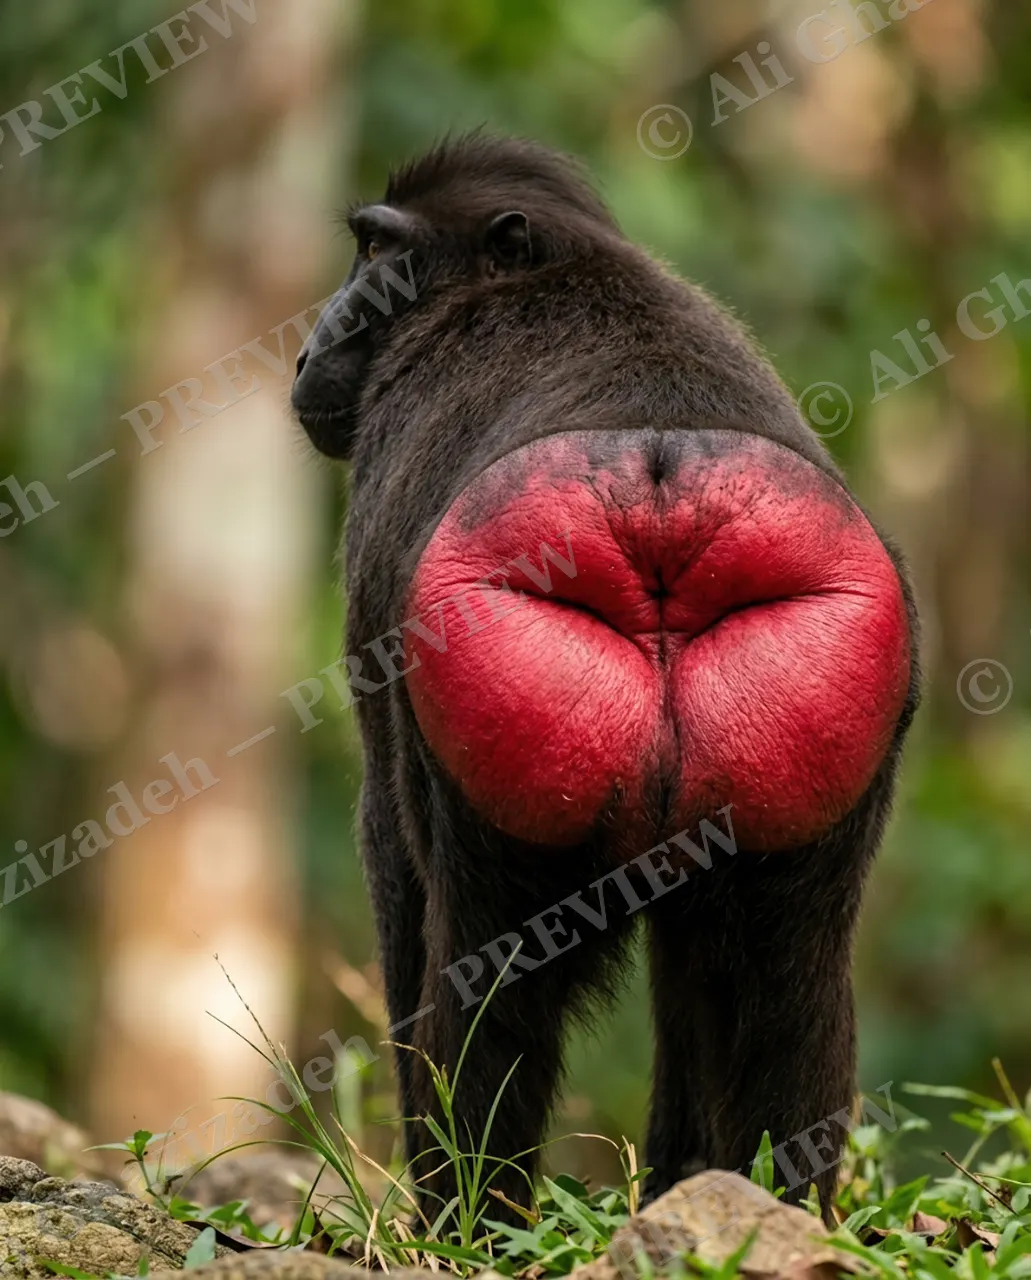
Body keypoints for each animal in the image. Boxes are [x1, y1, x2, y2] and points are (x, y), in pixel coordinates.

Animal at [291, 134, 920, 1223]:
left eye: (373, 251)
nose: (308, 346)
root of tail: (658, 486)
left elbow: (390, 851)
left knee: (485, 968)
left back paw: (463, 1220)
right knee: (781, 975)